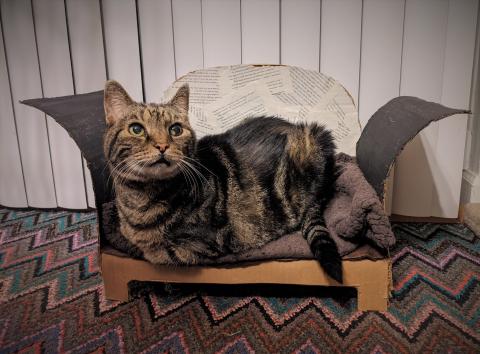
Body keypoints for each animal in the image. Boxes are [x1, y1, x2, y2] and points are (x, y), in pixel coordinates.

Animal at [103, 80, 344, 282]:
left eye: (176, 129)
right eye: (136, 129)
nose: (162, 146)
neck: (140, 199)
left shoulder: (200, 244)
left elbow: (155, 253)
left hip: (312, 143)